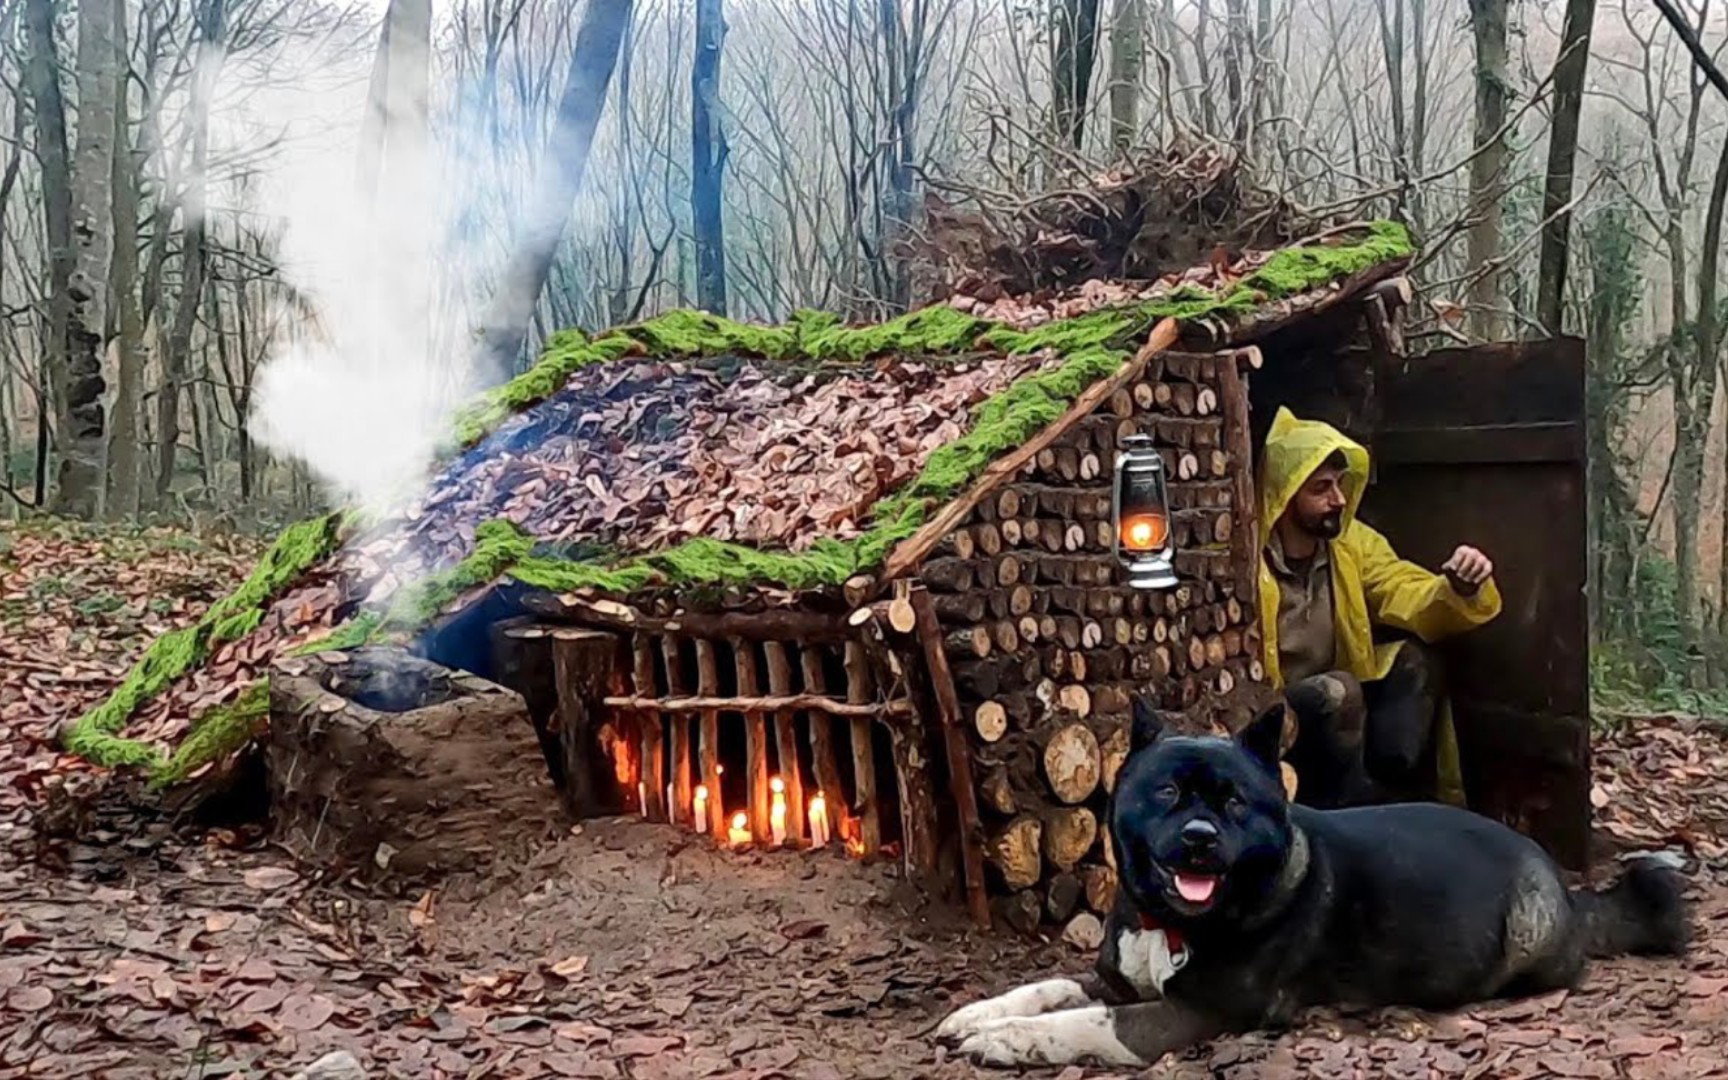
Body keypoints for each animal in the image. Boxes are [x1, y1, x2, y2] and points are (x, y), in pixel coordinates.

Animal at [940, 694, 1679, 1064]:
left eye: (1235, 801)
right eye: (1168, 791)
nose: (1200, 839)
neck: (1170, 924)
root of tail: (1569, 889)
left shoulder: (1193, 1013)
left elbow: (1088, 1020)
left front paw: (1007, 1040)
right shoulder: (1123, 976)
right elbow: (1051, 986)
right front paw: (976, 1015)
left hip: (1527, 933)